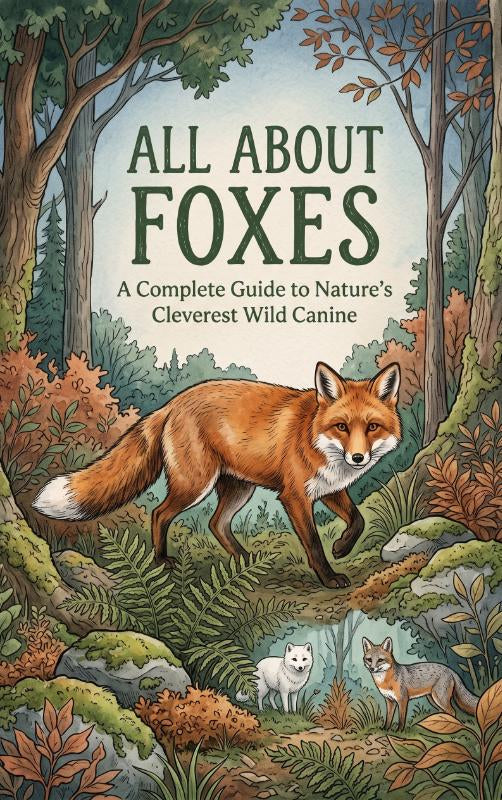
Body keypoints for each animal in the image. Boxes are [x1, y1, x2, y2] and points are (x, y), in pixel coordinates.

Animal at [33, 360, 401, 589]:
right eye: (342, 427)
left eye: (372, 427)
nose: (358, 457)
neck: (313, 435)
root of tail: (172, 404)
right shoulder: (295, 496)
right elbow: (312, 542)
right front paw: (329, 575)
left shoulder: (328, 488)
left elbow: (358, 519)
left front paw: (341, 547)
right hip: (195, 484)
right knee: (160, 513)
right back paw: (162, 560)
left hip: (238, 489)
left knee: (216, 523)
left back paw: (244, 561)